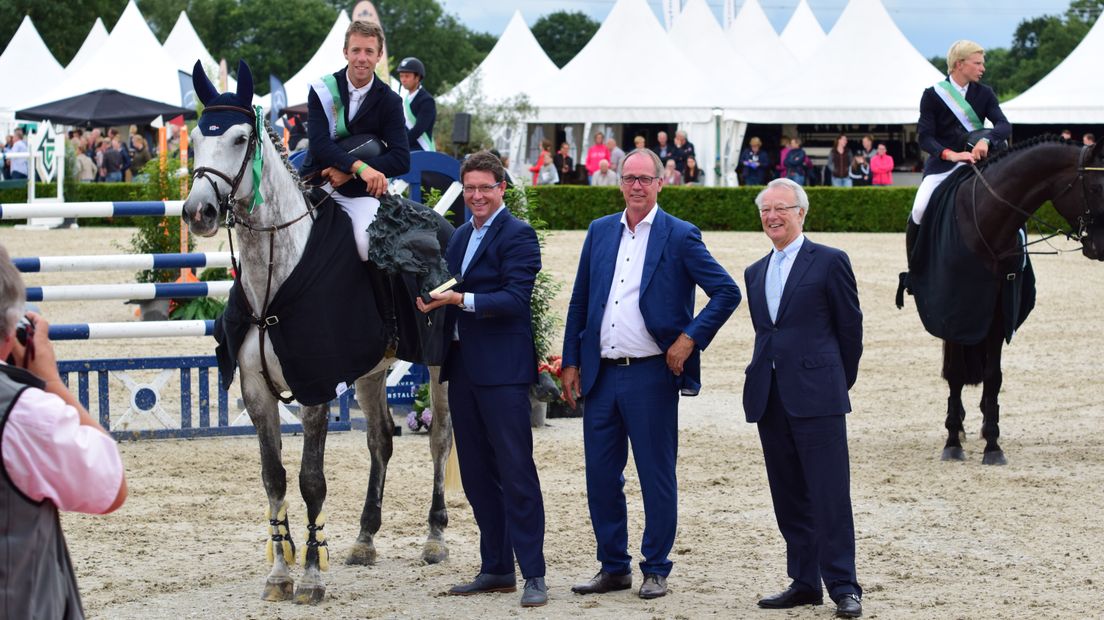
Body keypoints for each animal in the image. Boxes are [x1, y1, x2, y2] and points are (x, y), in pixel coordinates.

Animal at [179, 61, 452, 600]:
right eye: (196, 139)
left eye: (240, 139)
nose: (198, 212)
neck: (273, 283)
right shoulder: (257, 392)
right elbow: (274, 478)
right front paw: (279, 574)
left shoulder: (314, 390)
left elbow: (311, 480)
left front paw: (308, 576)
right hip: (372, 372)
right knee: (381, 440)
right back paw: (365, 539)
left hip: (436, 363)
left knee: (439, 437)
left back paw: (435, 538)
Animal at [905, 136, 1104, 463]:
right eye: (1098, 188)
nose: (1100, 246)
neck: (987, 226)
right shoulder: (951, 309)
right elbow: (956, 374)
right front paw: (952, 442)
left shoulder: (997, 313)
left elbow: (993, 376)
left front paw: (993, 444)